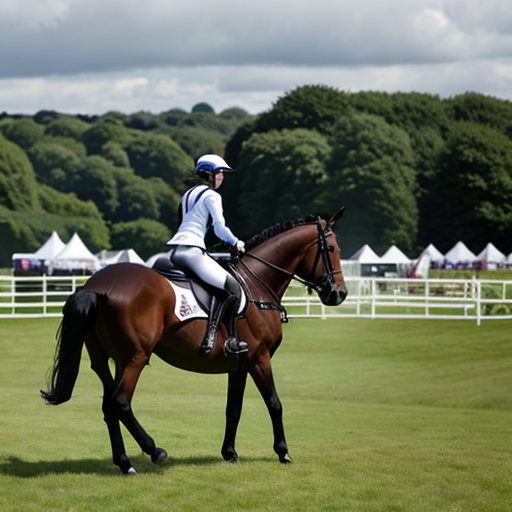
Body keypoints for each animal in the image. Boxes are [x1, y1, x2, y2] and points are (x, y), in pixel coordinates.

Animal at [41, 206, 348, 474]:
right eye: (332, 249)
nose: (339, 294)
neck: (257, 283)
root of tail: (97, 285)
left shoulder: (240, 365)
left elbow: (233, 409)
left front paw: (229, 453)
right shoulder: (259, 358)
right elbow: (275, 403)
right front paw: (283, 452)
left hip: (107, 360)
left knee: (108, 406)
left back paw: (124, 461)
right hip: (135, 358)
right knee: (120, 402)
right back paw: (154, 450)